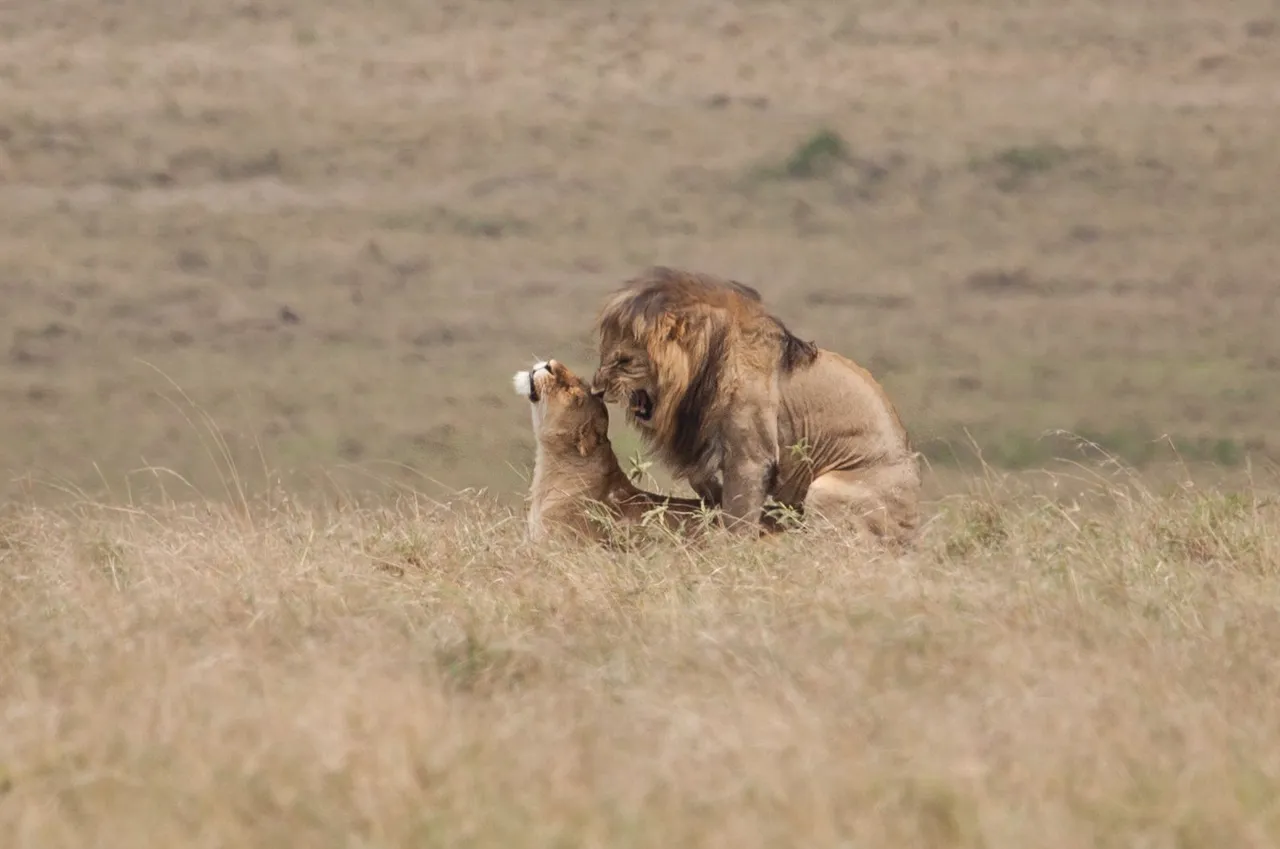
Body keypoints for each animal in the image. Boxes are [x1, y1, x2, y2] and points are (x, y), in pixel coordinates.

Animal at [588, 263, 921, 545]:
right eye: (603, 356)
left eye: (623, 361)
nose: (596, 389)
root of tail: (914, 530)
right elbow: (702, 480)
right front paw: (712, 502)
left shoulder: (750, 456)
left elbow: (739, 516)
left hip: (825, 489)